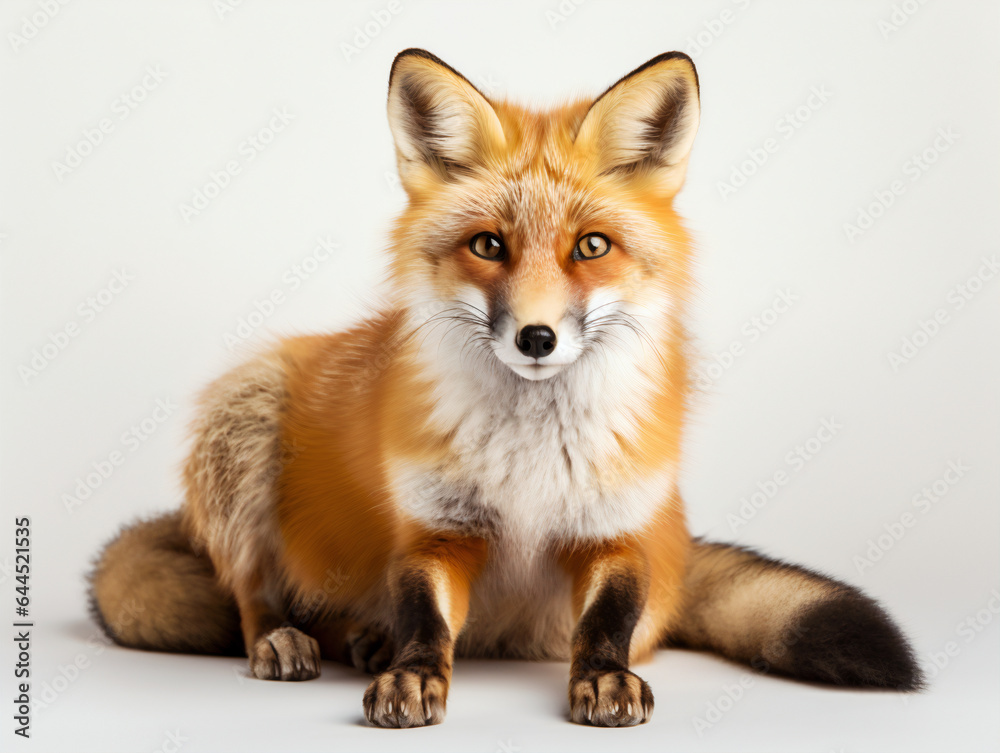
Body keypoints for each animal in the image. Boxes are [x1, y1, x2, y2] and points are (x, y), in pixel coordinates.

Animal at [88, 48, 920, 728]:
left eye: (591, 246)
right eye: (488, 245)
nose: (537, 338)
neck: (532, 460)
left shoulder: (616, 530)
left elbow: (607, 621)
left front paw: (605, 678)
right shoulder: (436, 531)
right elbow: (424, 617)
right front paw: (413, 673)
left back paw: (362, 638)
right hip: (246, 425)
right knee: (251, 590)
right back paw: (291, 637)